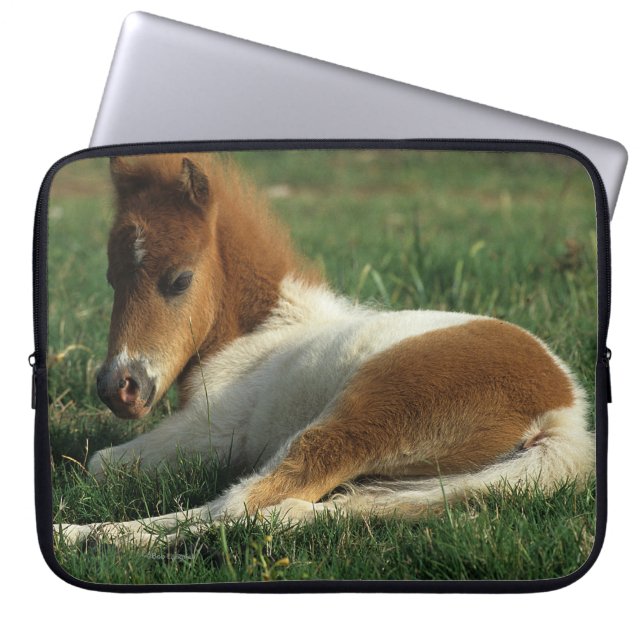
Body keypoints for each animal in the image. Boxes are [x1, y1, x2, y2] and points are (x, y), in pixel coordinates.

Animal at [56, 152, 594, 547]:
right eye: (111, 277)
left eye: (179, 279)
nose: (118, 387)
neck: (263, 330)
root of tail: (562, 412)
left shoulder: (211, 431)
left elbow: (101, 463)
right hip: (437, 481)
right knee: (308, 509)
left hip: (364, 418)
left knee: (244, 502)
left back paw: (89, 536)